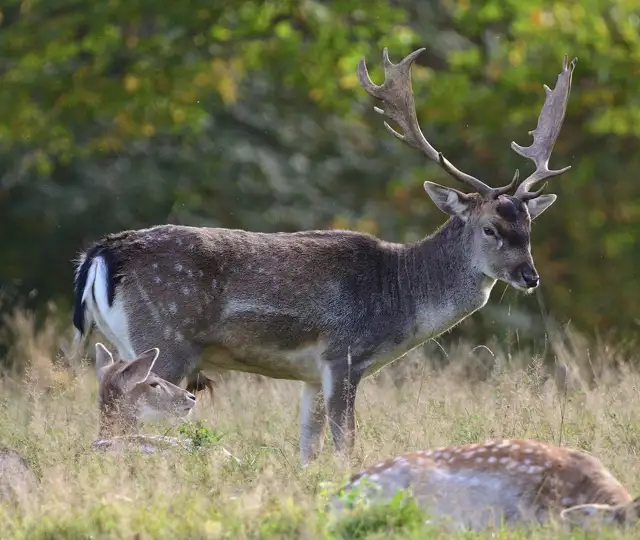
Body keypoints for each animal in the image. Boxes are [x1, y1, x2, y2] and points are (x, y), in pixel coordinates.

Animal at [71, 47, 577, 465]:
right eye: (490, 228)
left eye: (529, 228)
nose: (530, 276)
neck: (400, 296)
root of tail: (100, 252)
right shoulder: (343, 354)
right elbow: (345, 443)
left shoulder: (311, 375)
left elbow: (308, 449)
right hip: (164, 338)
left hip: (119, 342)